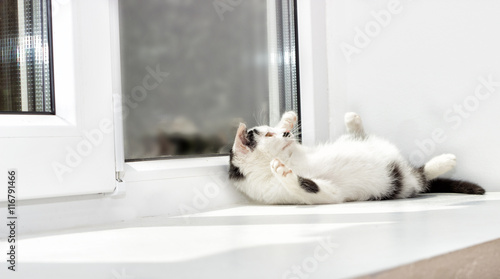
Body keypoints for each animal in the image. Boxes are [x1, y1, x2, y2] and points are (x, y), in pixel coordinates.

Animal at [229, 111, 486, 206]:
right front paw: (283, 172)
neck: (292, 159)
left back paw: (353, 121)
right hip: (401, 184)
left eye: (272, 130)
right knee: (421, 177)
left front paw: (288, 118)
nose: (285, 134)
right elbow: (311, 187)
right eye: (268, 135)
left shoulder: (298, 149)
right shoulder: (320, 194)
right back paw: (444, 162)